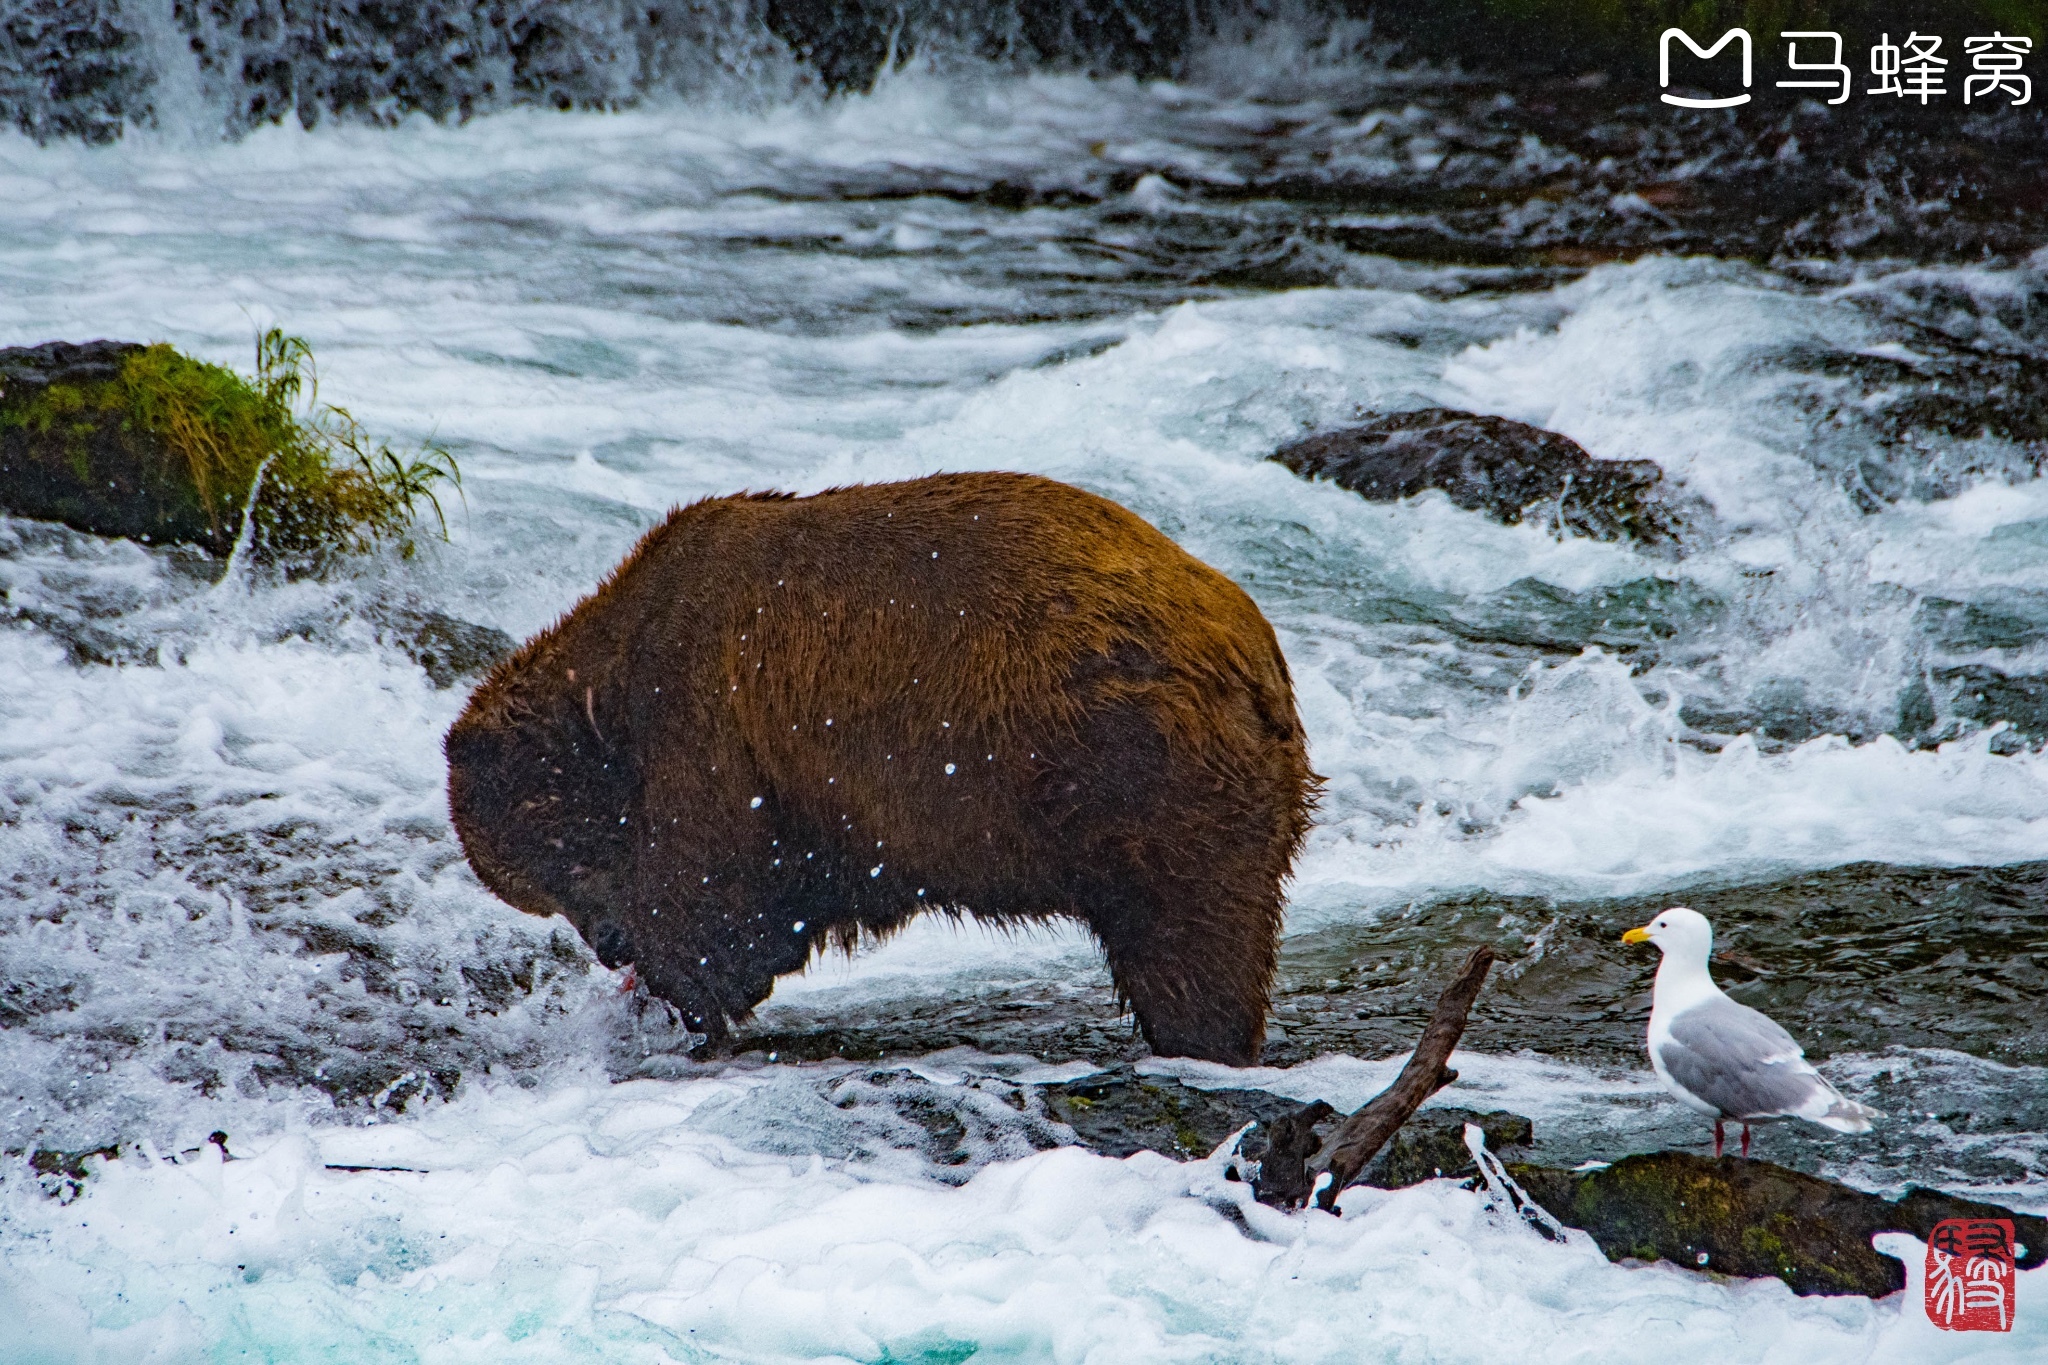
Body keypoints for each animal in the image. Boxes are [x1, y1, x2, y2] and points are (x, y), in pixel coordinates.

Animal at [442, 472, 1318, 1064]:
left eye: (564, 869)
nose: (609, 947)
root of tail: (1253, 652)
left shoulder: (711, 724)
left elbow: (713, 893)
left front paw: (683, 991)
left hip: (1142, 776)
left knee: (1191, 941)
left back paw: (1202, 1040)